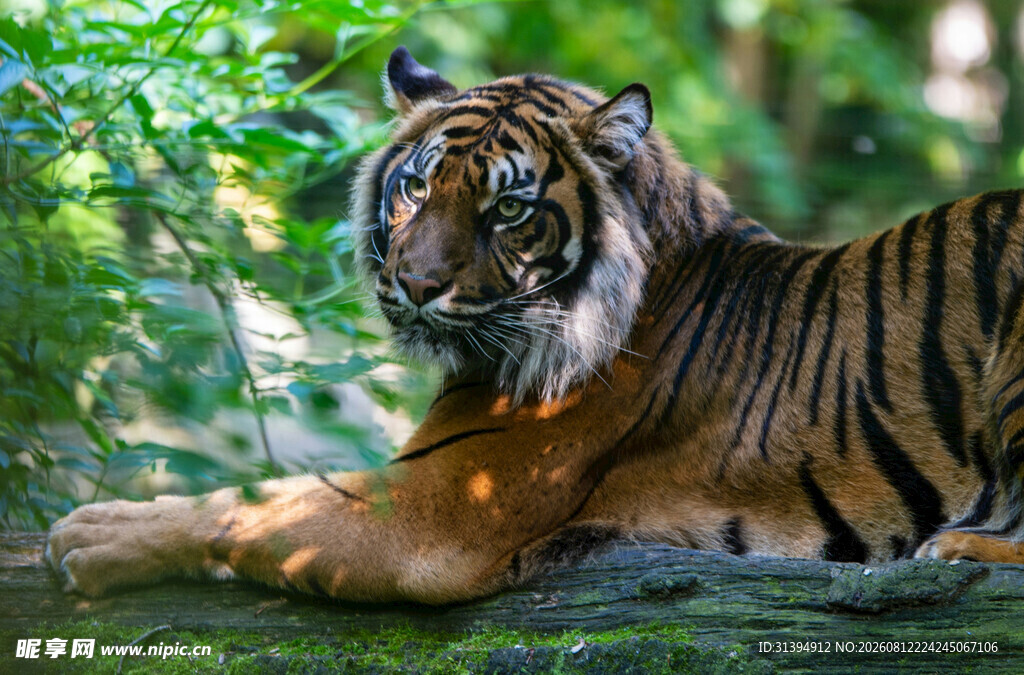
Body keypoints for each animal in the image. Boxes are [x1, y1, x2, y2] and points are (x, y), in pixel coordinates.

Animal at [46, 47, 1024, 604]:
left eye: (509, 208)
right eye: (414, 185)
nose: (415, 283)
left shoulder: (441, 501)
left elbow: (253, 504)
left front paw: (90, 533)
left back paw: (953, 544)